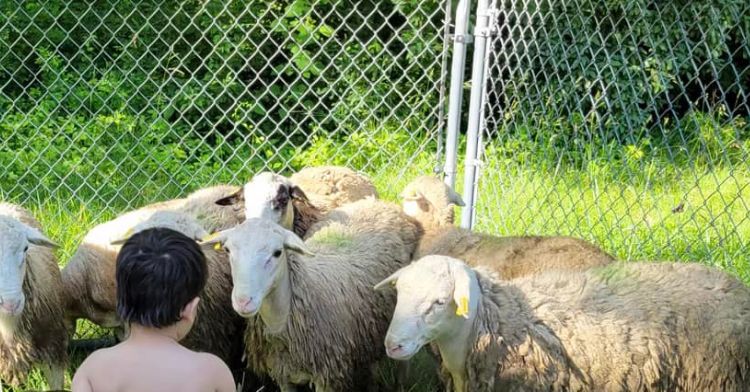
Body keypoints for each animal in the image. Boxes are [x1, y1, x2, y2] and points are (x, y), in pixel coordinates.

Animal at [203, 199, 420, 392]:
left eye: (277, 252)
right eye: (227, 249)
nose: (243, 301)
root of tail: (381, 203)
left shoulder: (327, 376)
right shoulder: (283, 376)